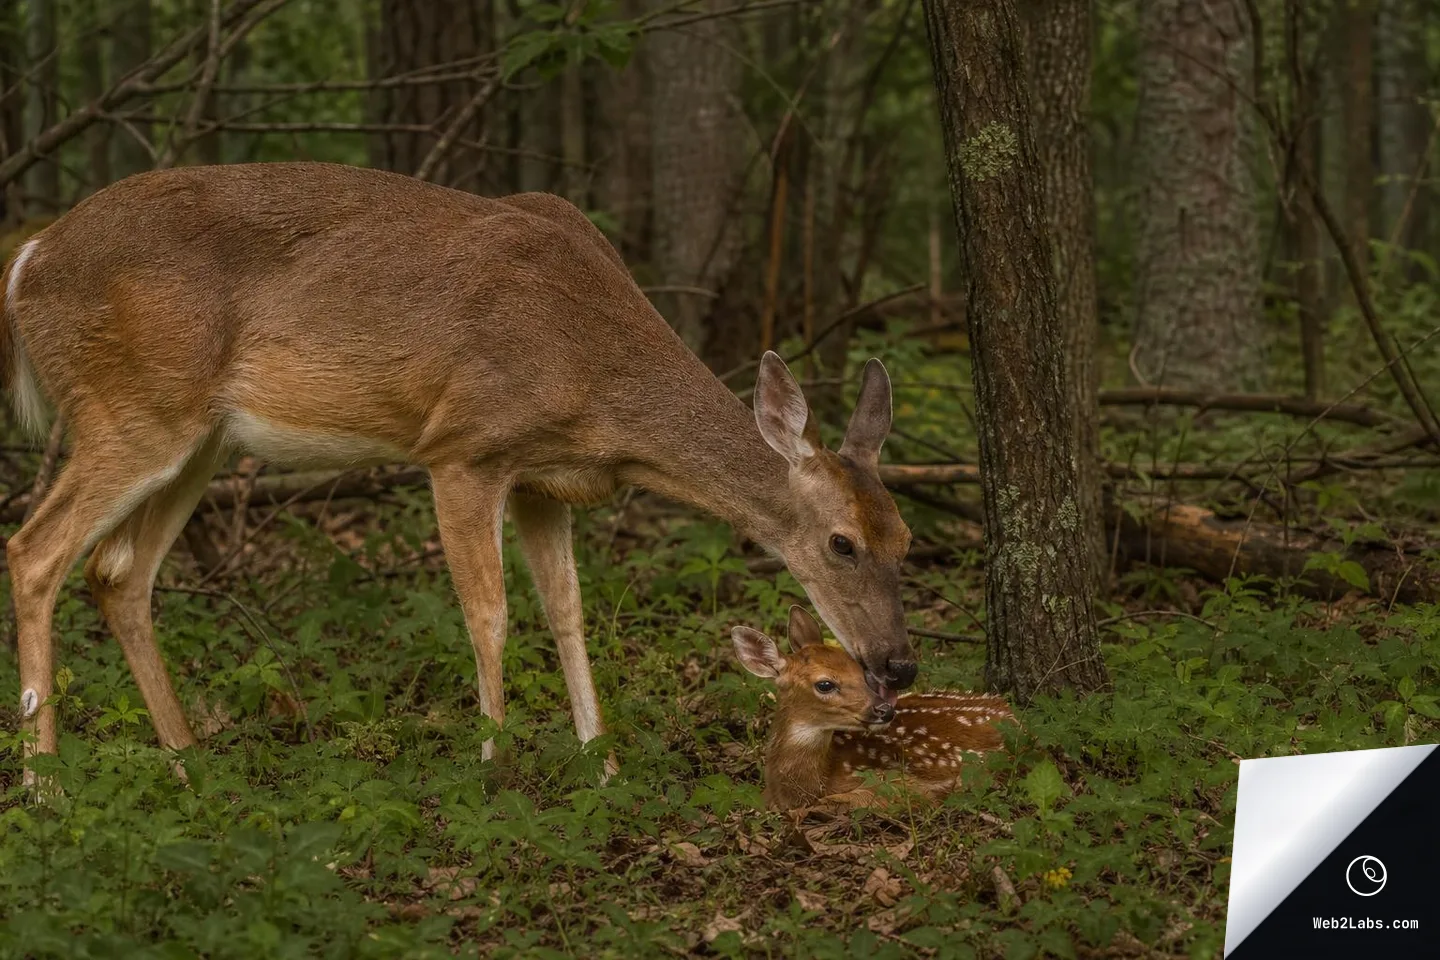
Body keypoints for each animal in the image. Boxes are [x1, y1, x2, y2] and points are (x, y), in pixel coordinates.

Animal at [0, 161, 918, 783]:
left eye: (906, 538)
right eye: (840, 543)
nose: (900, 665)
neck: (595, 375)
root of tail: (28, 261)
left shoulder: (549, 482)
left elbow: (569, 612)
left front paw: (603, 766)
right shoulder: (465, 447)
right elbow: (491, 615)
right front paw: (494, 762)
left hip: (203, 440)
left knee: (116, 572)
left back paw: (191, 764)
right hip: (131, 409)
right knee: (36, 551)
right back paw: (48, 788)